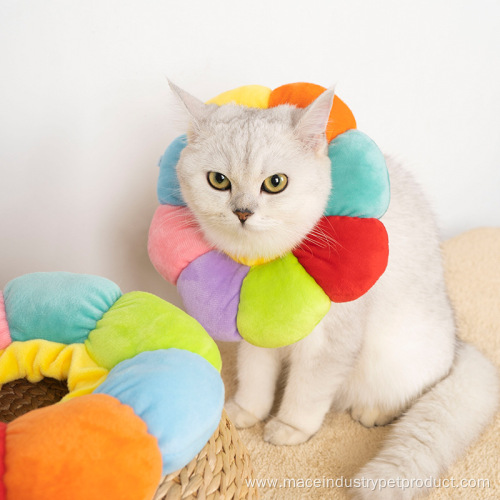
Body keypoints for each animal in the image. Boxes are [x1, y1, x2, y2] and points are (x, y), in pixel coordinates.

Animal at [170, 84, 498, 498]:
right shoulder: (257, 331)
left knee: (416, 391)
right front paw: (246, 412)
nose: (242, 212)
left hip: (396, 357)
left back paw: (373, 412)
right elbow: (255, 375)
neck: (272, 263)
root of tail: (459, 345)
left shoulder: (328, 343)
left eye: (275, 183)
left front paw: (288, 429)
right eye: (218, 180)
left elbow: (306, 392)